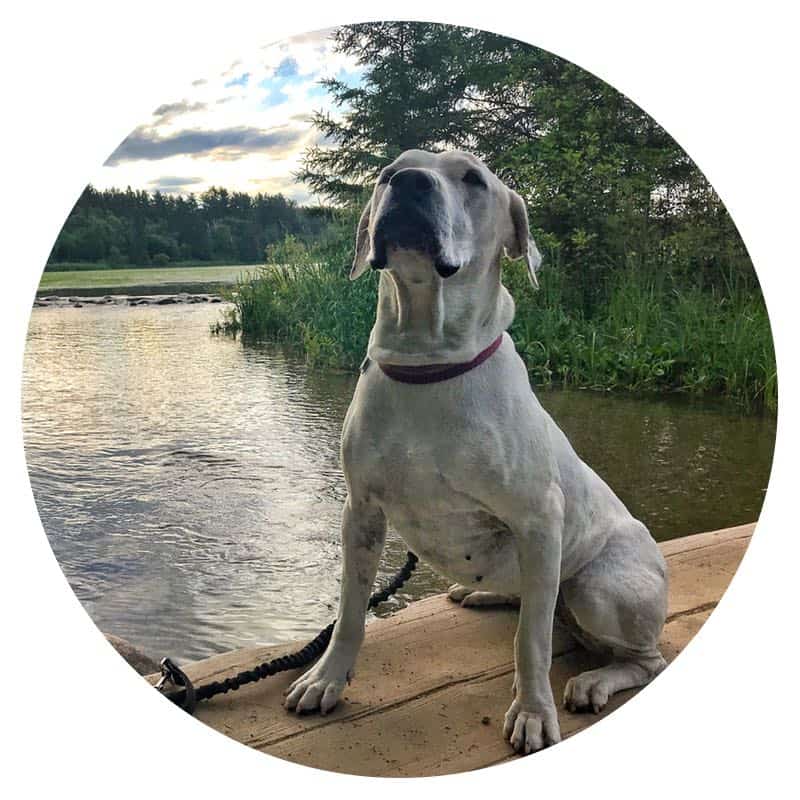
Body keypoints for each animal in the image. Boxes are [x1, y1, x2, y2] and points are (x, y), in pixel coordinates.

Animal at [288, 150, 668, 756]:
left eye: (472, 178)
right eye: (387, 172)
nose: (408, 183)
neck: (429, 362)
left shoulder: (538, 518)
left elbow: (530, 643)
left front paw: (533, 712)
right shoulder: (361, 512)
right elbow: (350, 612)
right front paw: (326, 680)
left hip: (598, 587)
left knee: (639, 657)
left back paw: (593, 680)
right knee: (538, 604)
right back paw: (484, 596)